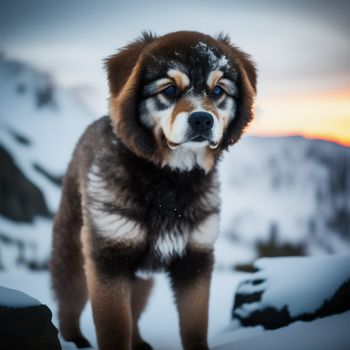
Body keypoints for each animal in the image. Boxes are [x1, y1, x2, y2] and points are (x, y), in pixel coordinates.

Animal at [50, 30, 258, 350]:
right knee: (68, 303)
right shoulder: (108, 256)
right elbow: (114, 329)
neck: (169, 180)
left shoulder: (196, 258)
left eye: (218, 91)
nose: (202, 119)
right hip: (74, 252)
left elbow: (195, 325)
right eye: (169, 90)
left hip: (141, 276)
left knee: (135, 311)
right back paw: (75, 339)